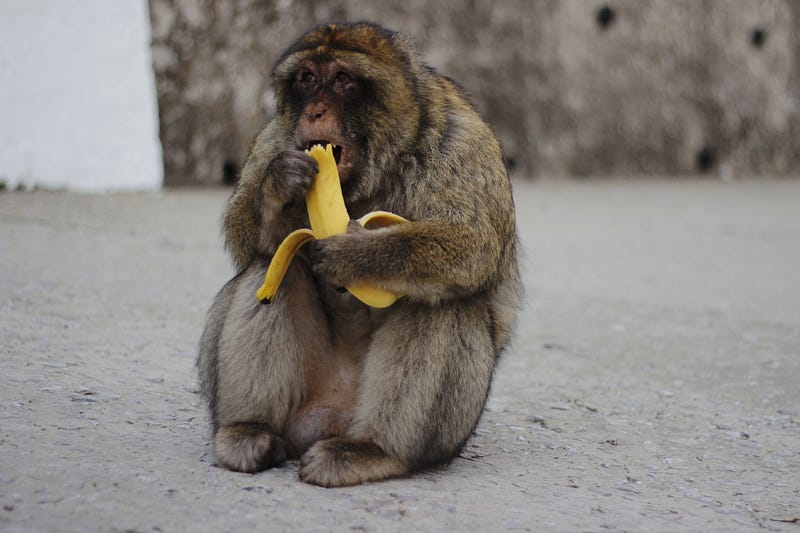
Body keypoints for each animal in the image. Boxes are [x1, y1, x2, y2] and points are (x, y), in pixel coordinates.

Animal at [198, 21, 520, 486]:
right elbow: (244, 239)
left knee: (442, 301)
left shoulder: (462, 143)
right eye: (307, 78)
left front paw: (355, 254)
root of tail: (332, 418)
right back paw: (248, 430)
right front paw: (279, 185)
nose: (314, 112)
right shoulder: (274, 139)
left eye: (342, 79)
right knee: (275, 266)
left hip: (449, 428)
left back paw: (374, 449)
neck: (380, 165)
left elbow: (470, 244)